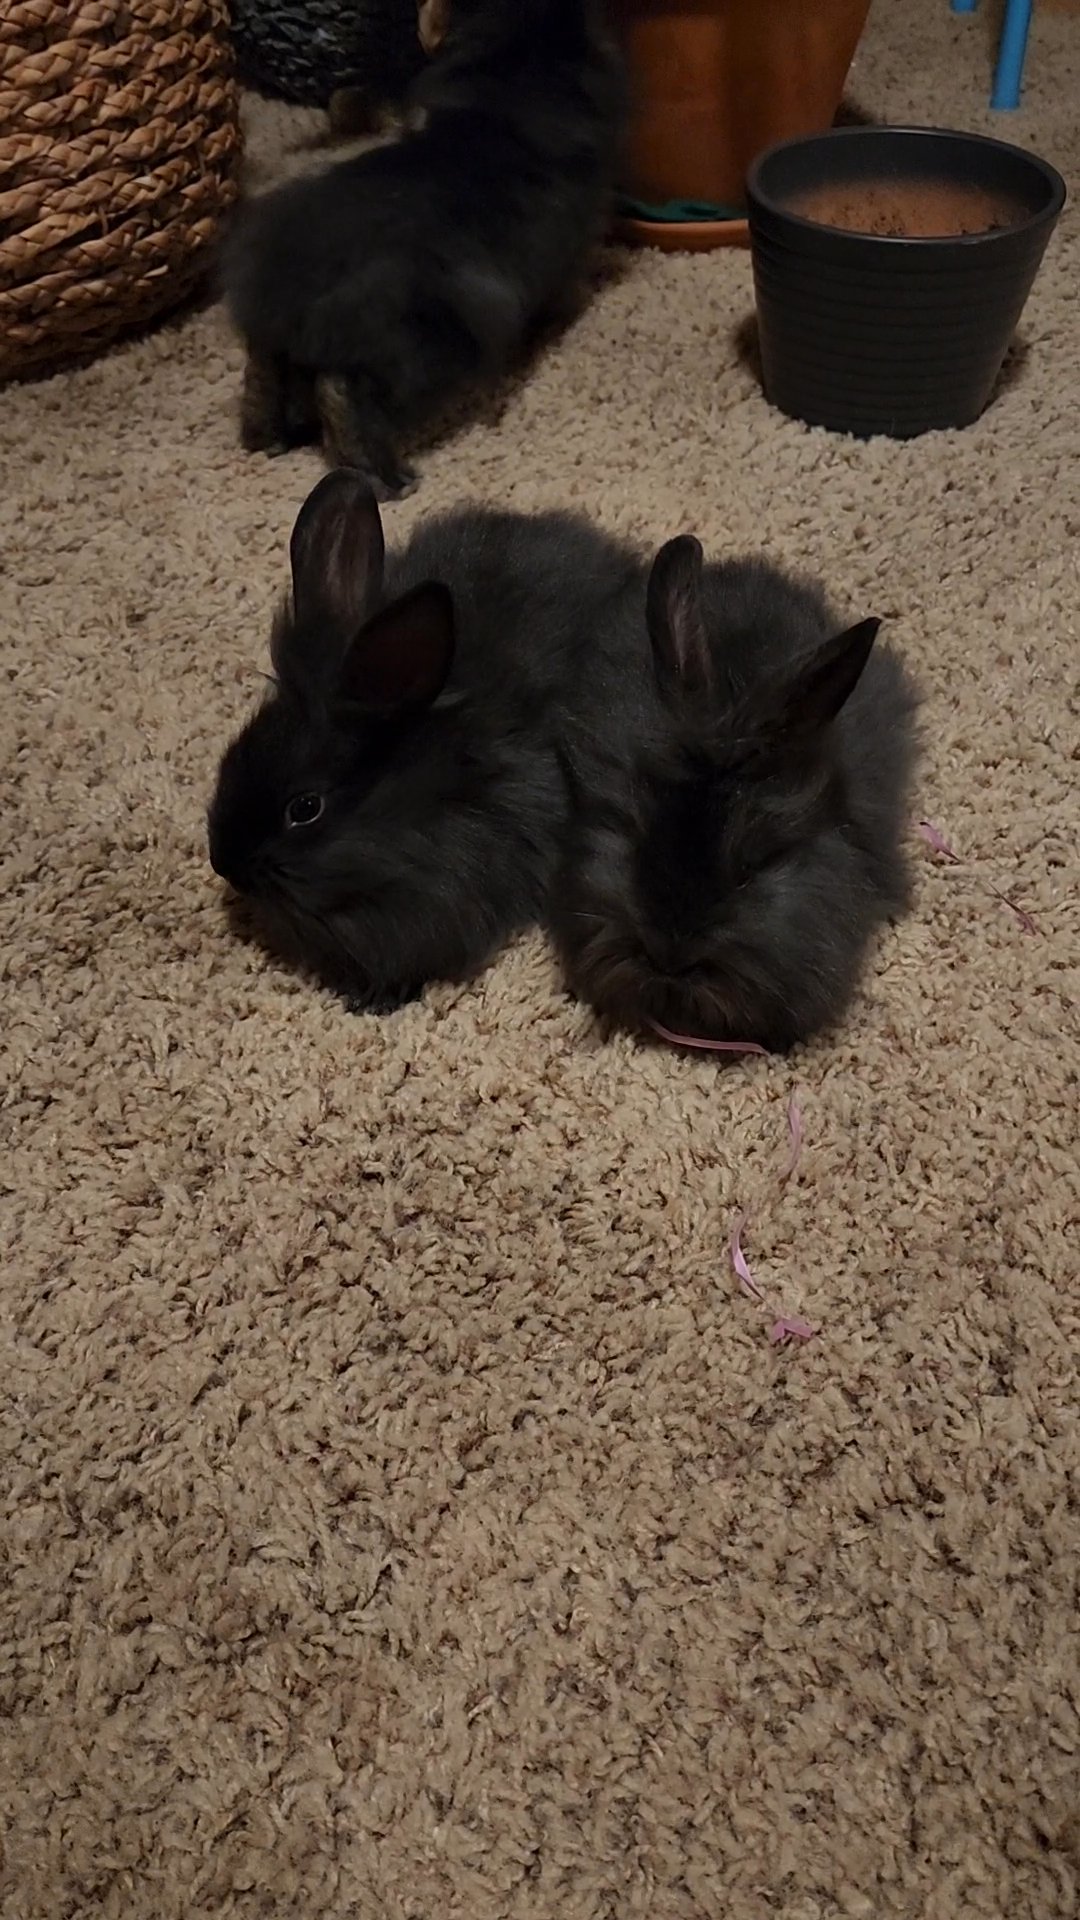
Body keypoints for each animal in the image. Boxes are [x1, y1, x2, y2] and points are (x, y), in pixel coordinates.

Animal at [220, 0, 622, 495]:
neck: (505, 87)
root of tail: (288, 292)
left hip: (275, 350)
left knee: (261, 379)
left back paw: (266, 442)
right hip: (417, 353)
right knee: (340, 392)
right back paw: (389, 479)